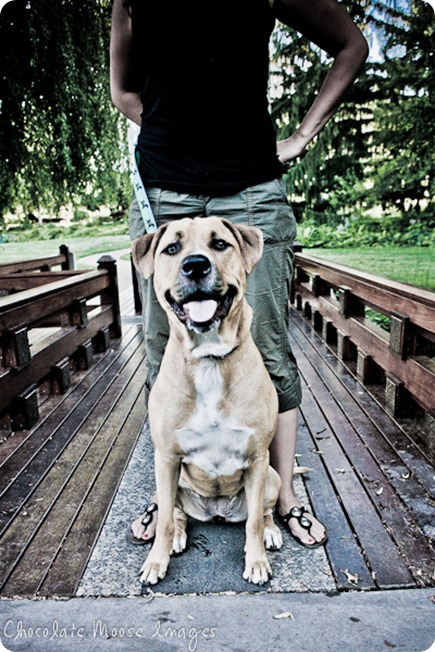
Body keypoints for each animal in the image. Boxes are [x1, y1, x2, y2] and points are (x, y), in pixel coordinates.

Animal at [133, 215, 282, 584]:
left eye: (220, 244)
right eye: (172, 248)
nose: (196, 265)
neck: (209, 358)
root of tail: (217, 512)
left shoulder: (257, 457)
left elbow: (254, 521)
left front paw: (256, 562)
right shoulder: (166, 457)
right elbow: (165, 521)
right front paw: (155, 562)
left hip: (272, 477)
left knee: (264, 512)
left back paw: (273, 531)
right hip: (167, 482)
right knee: (175, 513)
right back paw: (178, 535)